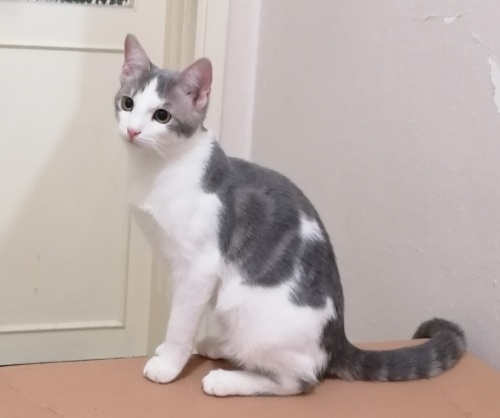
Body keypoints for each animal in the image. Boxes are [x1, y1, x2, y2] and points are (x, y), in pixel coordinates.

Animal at [114, 34, 466, 397]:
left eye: (162, 115)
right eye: (127, 104)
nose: (133, 131)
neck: (158, 170)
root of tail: (338, 341)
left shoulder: (199, 267)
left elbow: (181, 321)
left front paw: (169, 363)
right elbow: (182, 314)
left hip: (250, 313)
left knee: (299, 379)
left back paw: (227, 379)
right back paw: (222, 345)